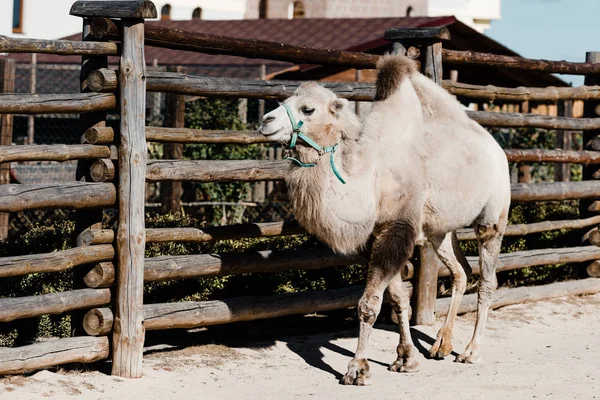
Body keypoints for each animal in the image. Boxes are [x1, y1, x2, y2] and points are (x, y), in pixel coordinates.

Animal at [258, 54, 510, 386]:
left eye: (307, 109)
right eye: (285, 101)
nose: (266, 121)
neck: (370, 178)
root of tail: (497, 149)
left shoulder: (397, 228)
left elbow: (369, 303)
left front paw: (357, 368)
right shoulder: (374, 236)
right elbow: (398, 297)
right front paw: (406, 358)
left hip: (493, 215)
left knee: (487, 279)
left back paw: (471, 351)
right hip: (438, 230)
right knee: (461, 271)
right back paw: (442, 344)